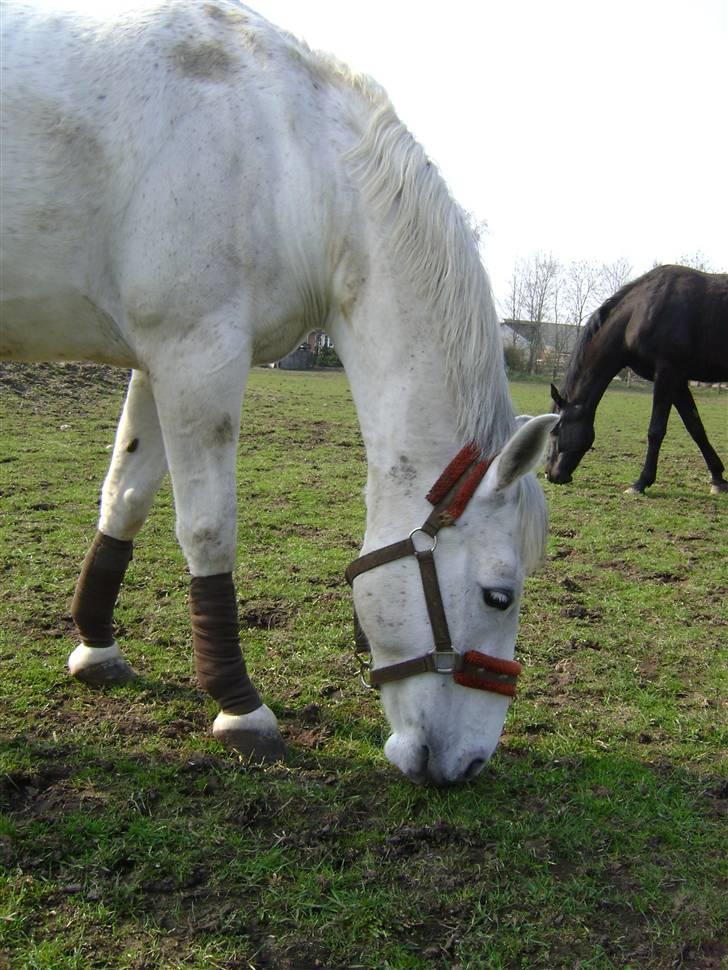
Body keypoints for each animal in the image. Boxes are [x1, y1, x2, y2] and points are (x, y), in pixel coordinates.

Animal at [1, 0, 556, 784]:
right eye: (498, 595)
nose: (469, 764)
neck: (293, 161)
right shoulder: (198, 354)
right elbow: (208, 529)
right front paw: (240, 707)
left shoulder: (158, 360)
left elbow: (126, 497)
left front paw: (97, 648)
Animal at [548, 262, 724, 492]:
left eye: (555, 430)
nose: (550, 474)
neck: (639, 311)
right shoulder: (677, 381)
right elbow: (696, 428)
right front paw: (718, 478)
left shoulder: (667, 373)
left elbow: (656, 431)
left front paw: (641, 482)